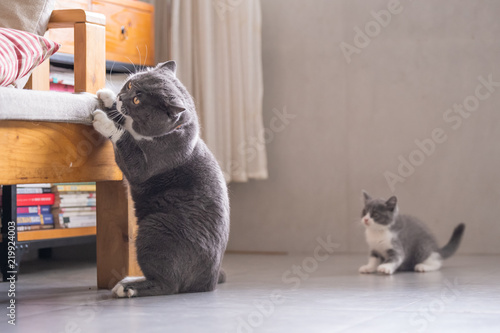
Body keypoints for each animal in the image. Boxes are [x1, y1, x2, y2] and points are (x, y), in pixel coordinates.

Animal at [91, 59, 229, 296]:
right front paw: (107, 97)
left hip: (155, 228)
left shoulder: (145, 165)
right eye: (129, 85)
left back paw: (127, 286)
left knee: (167, 285)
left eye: (137, 100)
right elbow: (123, 120)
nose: (121, 97)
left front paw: (104, 120)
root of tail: (207, 283)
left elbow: (125, 141)